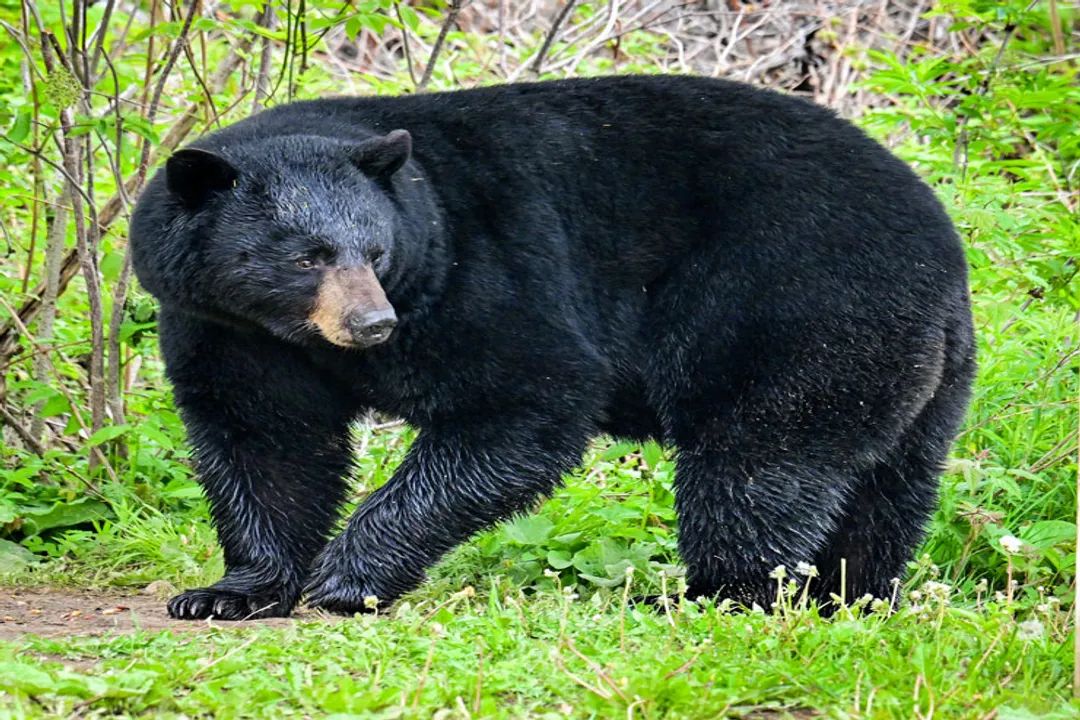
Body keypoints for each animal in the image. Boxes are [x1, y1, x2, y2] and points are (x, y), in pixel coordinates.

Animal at [129, 75, 975, 620]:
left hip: (795, 308)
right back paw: (850, 595)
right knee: (884, 485)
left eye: (374, 250)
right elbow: (266, 441)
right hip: (919, 372)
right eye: (306, 256)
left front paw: (347, 576)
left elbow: (525, 397)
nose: (372, 326)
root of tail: (942, 247)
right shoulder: (224, 325)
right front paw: (230, 591)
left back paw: (715, 595)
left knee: (756, 464)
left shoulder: (480, 271)